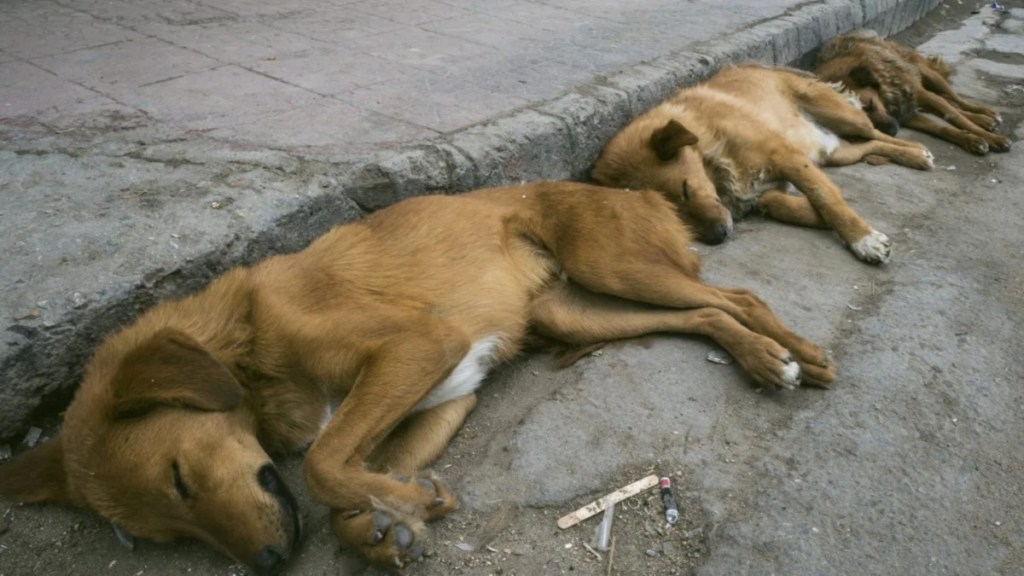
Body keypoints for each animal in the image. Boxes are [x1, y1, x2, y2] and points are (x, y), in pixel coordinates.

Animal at [0, 179, 831, 569]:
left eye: (178, 476)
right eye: (167, 534)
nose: (269, 566)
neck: (242, 344)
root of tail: (639, 189)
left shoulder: (418, 348)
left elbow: (324, 466)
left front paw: (400, 505)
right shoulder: (440, 396)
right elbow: (349, 474)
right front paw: (384, 525)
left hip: (613, 264)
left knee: (739, 295)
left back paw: (793, 352)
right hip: (577, 311)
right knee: (706, 316)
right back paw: (761, 355)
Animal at [593, 63, 937, 264]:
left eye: (686, 189)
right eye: (672, 214)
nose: (719, 236)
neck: (711, 157)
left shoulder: (786, 159)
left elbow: (825, 197)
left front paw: (862, 239)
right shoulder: (766, 191)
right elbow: (794, 206)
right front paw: (830, 221)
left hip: (845, 118)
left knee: (878, 131)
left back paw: (919, 152)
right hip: (835, 152)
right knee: (869, 145)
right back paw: (912, 154)